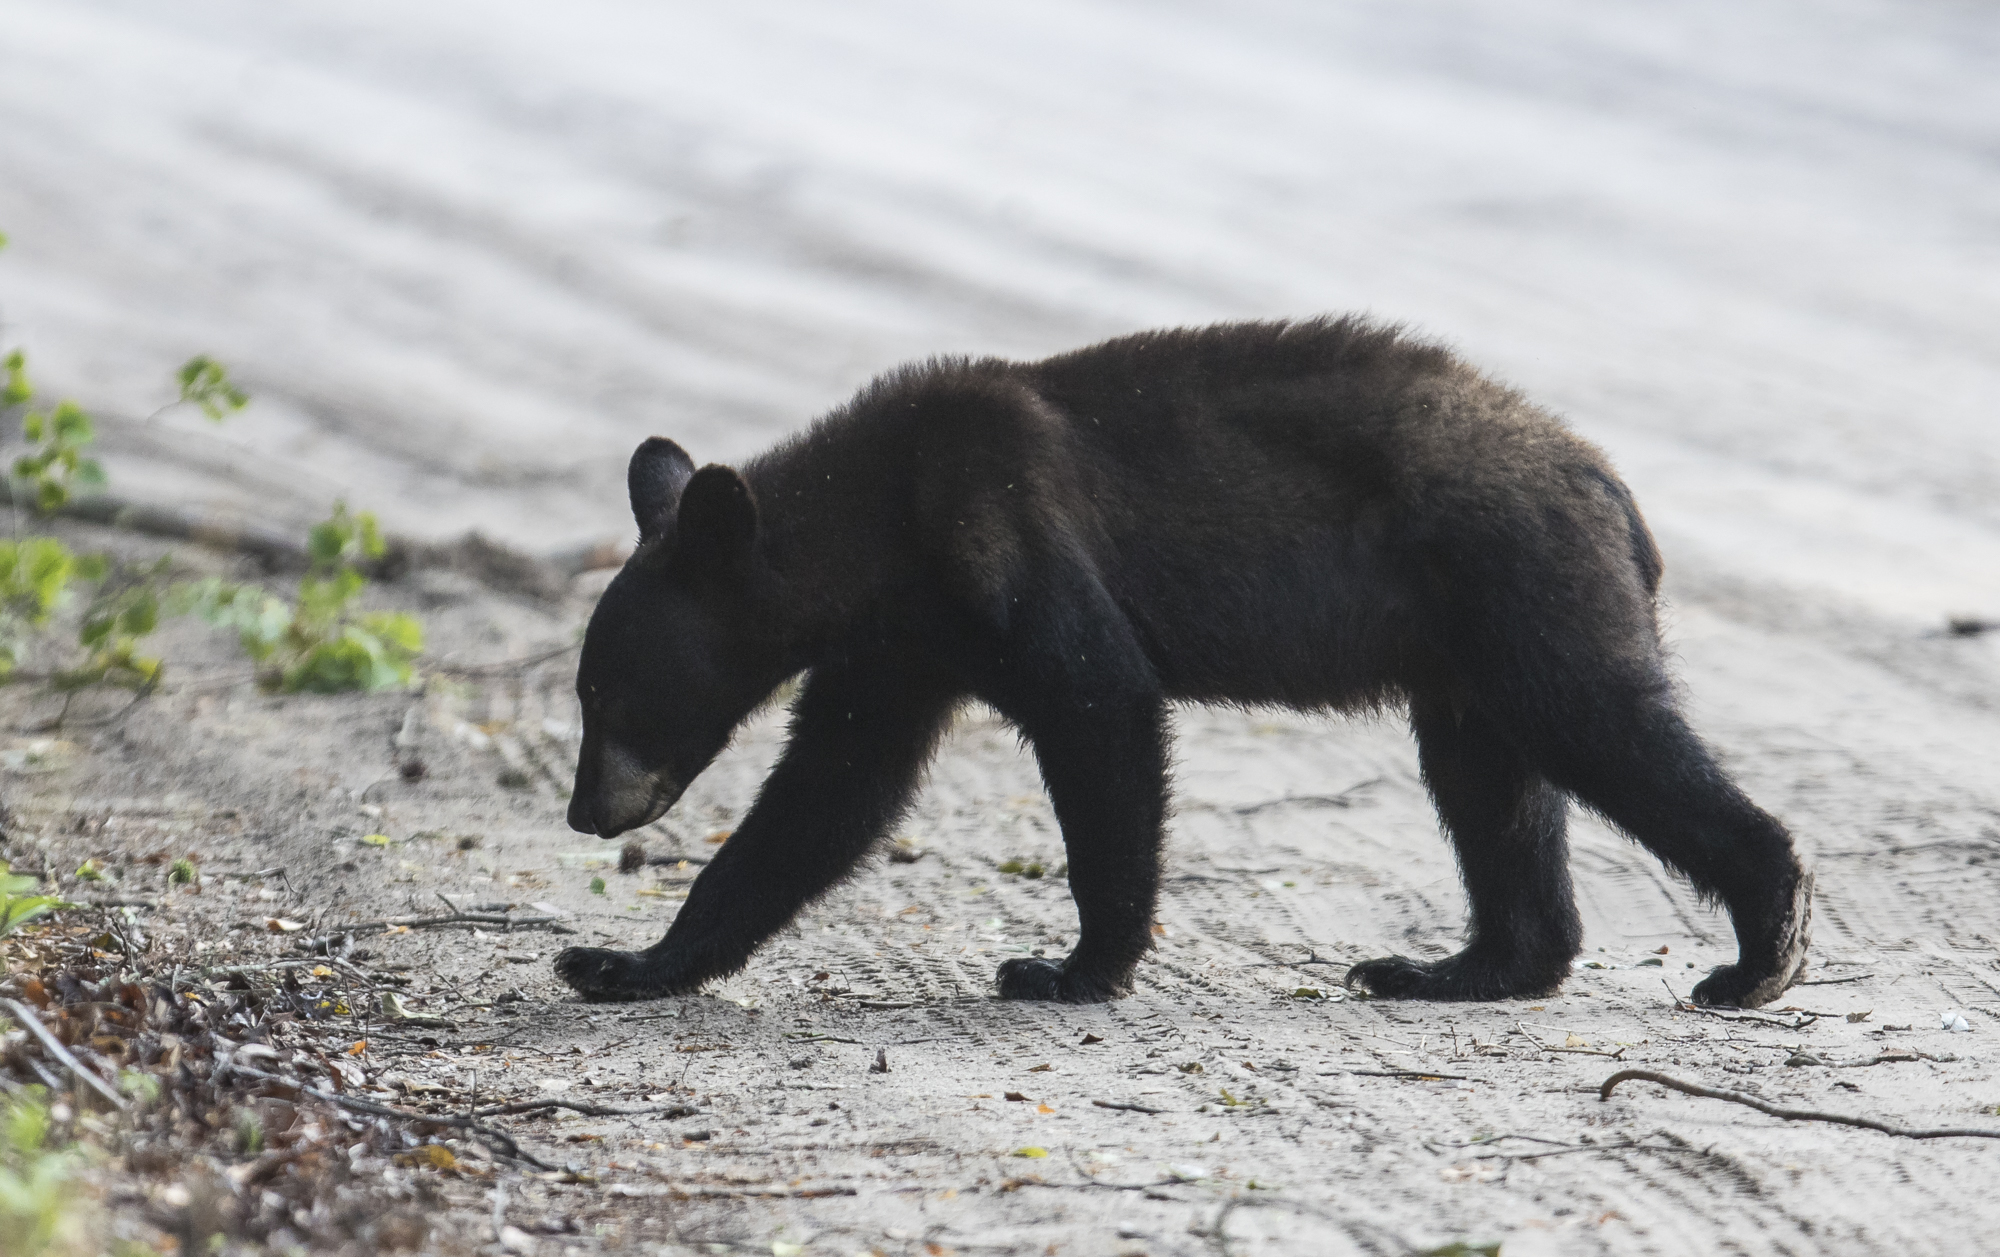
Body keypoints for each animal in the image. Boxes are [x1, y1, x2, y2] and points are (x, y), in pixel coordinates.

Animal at [555, 316, 1812, 1008]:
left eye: (604, 692)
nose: (581, 812)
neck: (869, 534)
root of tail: (1608, 485)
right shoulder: (898, 647)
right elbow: (823, 797)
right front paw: (623, 963)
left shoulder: (999, 537)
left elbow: (1098, 704)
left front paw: (1069, 971)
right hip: (1466, 648)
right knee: (1491, 787)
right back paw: (1454, 968)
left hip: (1520, 581)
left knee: (1595, 725)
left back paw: (1759, 949)